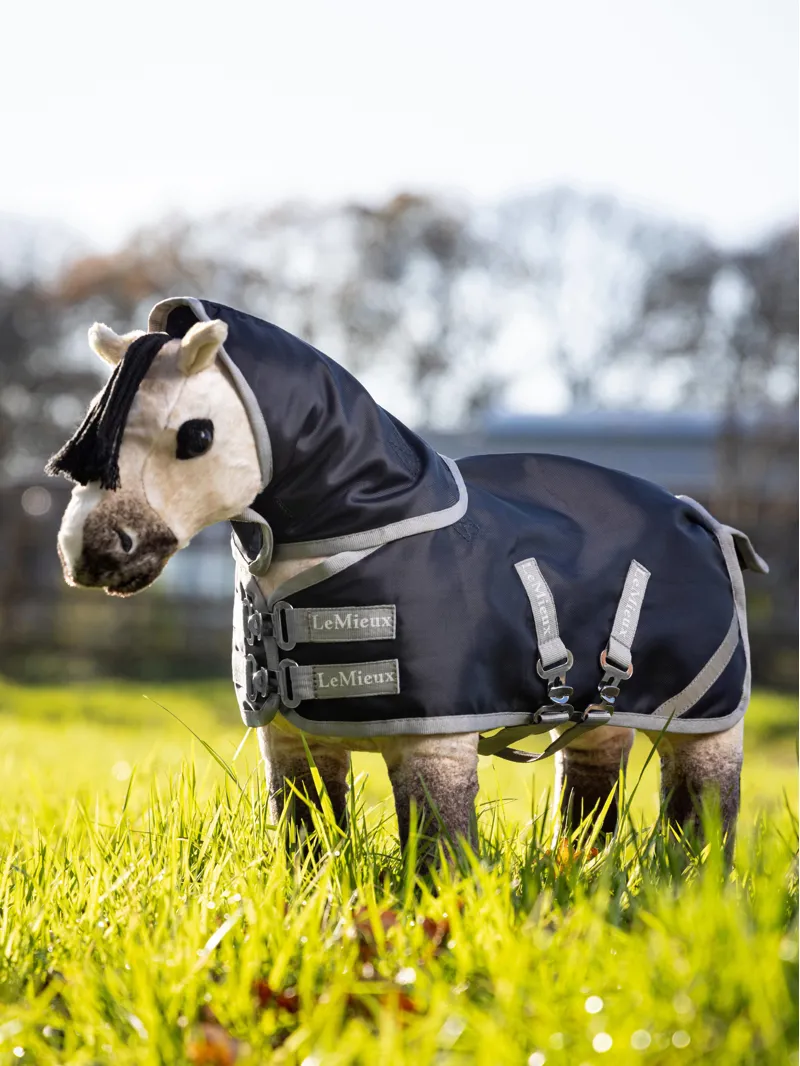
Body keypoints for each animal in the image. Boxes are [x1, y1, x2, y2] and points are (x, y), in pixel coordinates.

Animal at [48, 297, 767, 863]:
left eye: (196, 435)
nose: (91, 552)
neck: (366, 530)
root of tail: (702, 518)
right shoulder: (294, 740)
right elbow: (307, 837)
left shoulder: (434, 743)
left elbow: (437, 847)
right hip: (600, 716)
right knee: (592, 792)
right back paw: (580, 868)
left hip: (703, 721)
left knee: (704, 808)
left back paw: (691, 882)